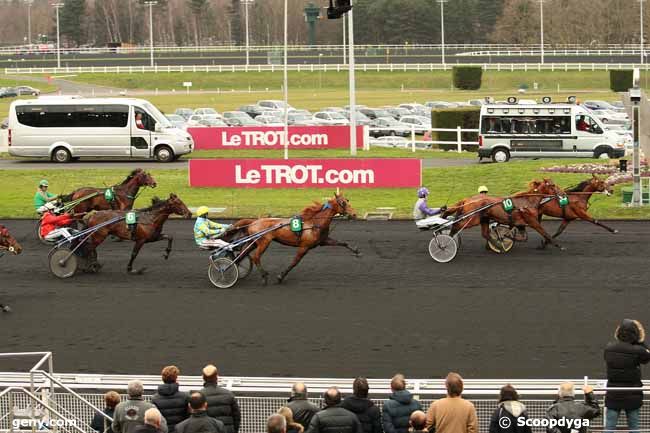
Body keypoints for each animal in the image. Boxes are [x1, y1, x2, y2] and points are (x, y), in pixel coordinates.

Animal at [227, 192, 360, 284]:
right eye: (343, 203)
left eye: (347, 200)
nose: (354, 214)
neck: (314, 223)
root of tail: (253, 222)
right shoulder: (304, 246)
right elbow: (295, 262)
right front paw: (280, 277)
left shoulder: (323, 241)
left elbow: (342, 243)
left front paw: (357, 251)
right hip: (264, 242)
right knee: (255, 257)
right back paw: (263, 276)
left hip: (253, 242)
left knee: (242, 254)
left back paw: (230, 269)